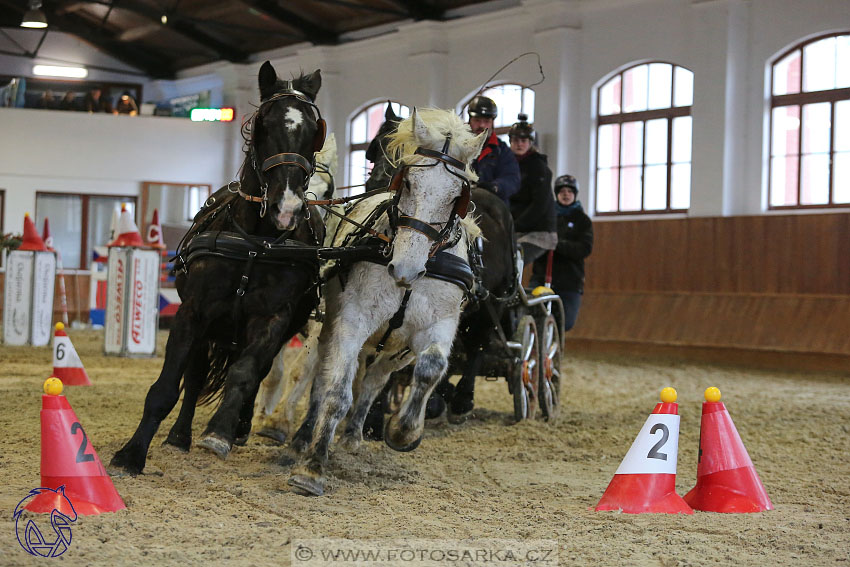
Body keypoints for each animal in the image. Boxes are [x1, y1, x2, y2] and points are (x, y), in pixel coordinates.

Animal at [112, 62, 324, 474]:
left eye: (313, 130)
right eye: (264, 123)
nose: (287, 208)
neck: (256, 245)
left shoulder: (272, 319)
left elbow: (244, 373)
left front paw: (220, 431)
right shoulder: (193, 312)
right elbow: (168, 387)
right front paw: (132, 453)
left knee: (258, 371)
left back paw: (239, 426)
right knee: (195, 375)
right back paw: (180, 435)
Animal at [286, 107, 484, 496]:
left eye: (457, 196)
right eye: (407, 183)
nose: (405, 268)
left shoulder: (440, 324)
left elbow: (431, 368)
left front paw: (403, 432)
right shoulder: (353, 319)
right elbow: (336, 391)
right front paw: (313, 467)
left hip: (394, 351)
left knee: (375, 381)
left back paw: (353, 435)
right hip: (330, 328)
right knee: (321, 377)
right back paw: (305, 436)